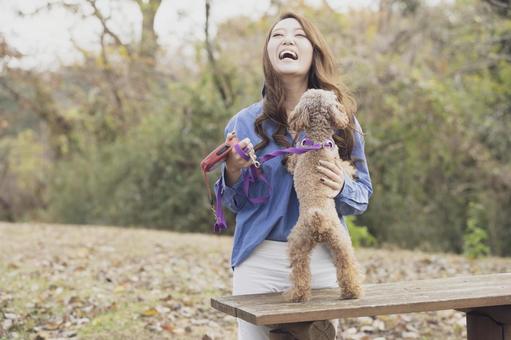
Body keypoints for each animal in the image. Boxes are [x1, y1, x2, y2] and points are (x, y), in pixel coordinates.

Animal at [284, 89, 364, 302]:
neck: (317, 141)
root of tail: (318, 220)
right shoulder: (333, 159)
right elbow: (343, 166)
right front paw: (351, 170)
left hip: (307, 243)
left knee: (302, 270)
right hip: (340, 241)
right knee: (346, 265)